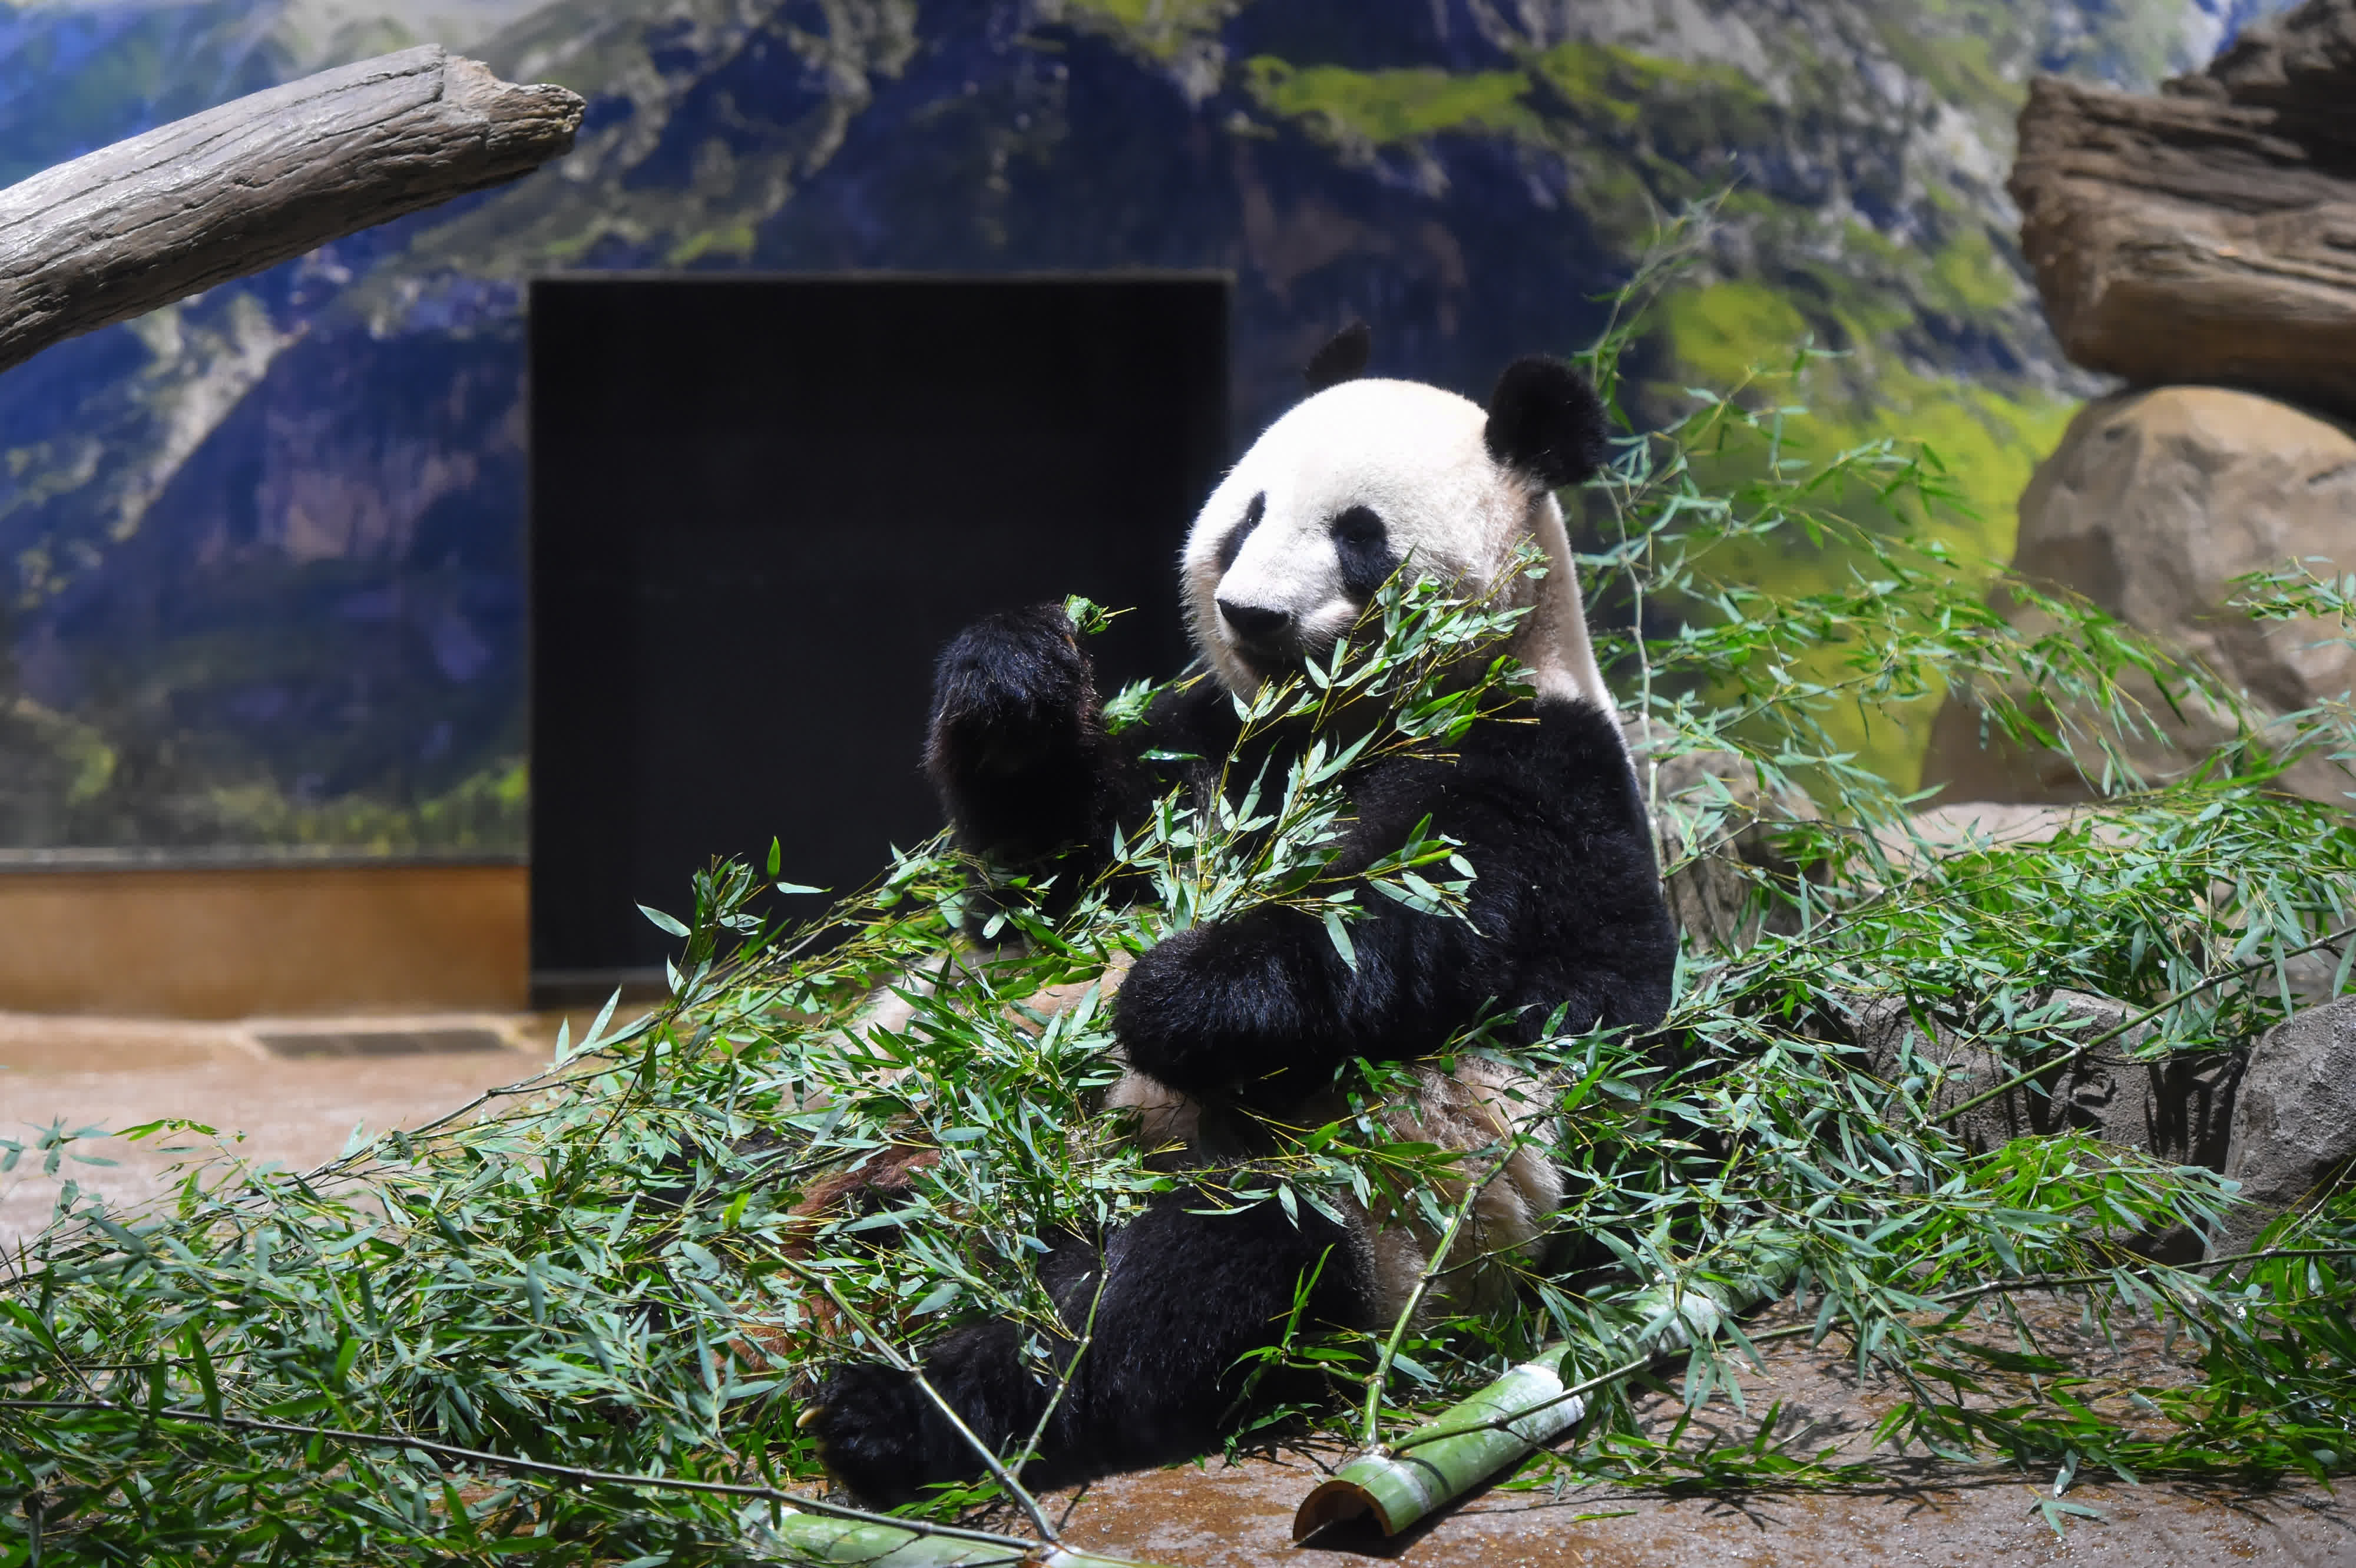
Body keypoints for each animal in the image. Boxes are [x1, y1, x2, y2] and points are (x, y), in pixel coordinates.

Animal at [815, 327, 1677, 1507]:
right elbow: (1045, 882)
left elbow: (1397, 931)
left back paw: (900, 1409)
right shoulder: (1216, 743)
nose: (1251, 614)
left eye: (1360, 537)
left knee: (1161, 1293)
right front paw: (1014, 681)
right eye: (1249, 515)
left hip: (1367, 1215)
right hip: (873, 1087)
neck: (1337, 721)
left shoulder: (1536, 772)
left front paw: (1163, 997)